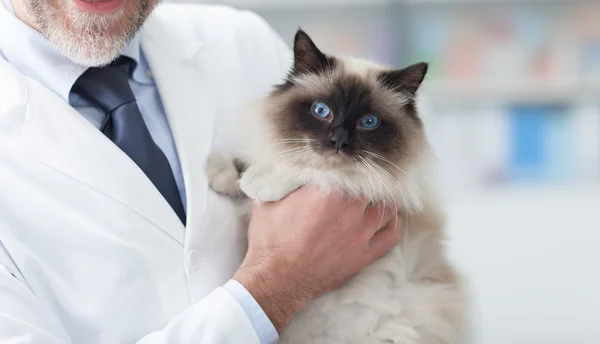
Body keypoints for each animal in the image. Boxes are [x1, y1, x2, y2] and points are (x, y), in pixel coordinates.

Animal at [206, 29, 468, 344]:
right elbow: (250, 162)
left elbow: (315, 174)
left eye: (369, 122)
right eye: (321, 111)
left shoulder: (381, 187)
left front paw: (262, 181)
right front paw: (218, 171)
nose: (339, 140)